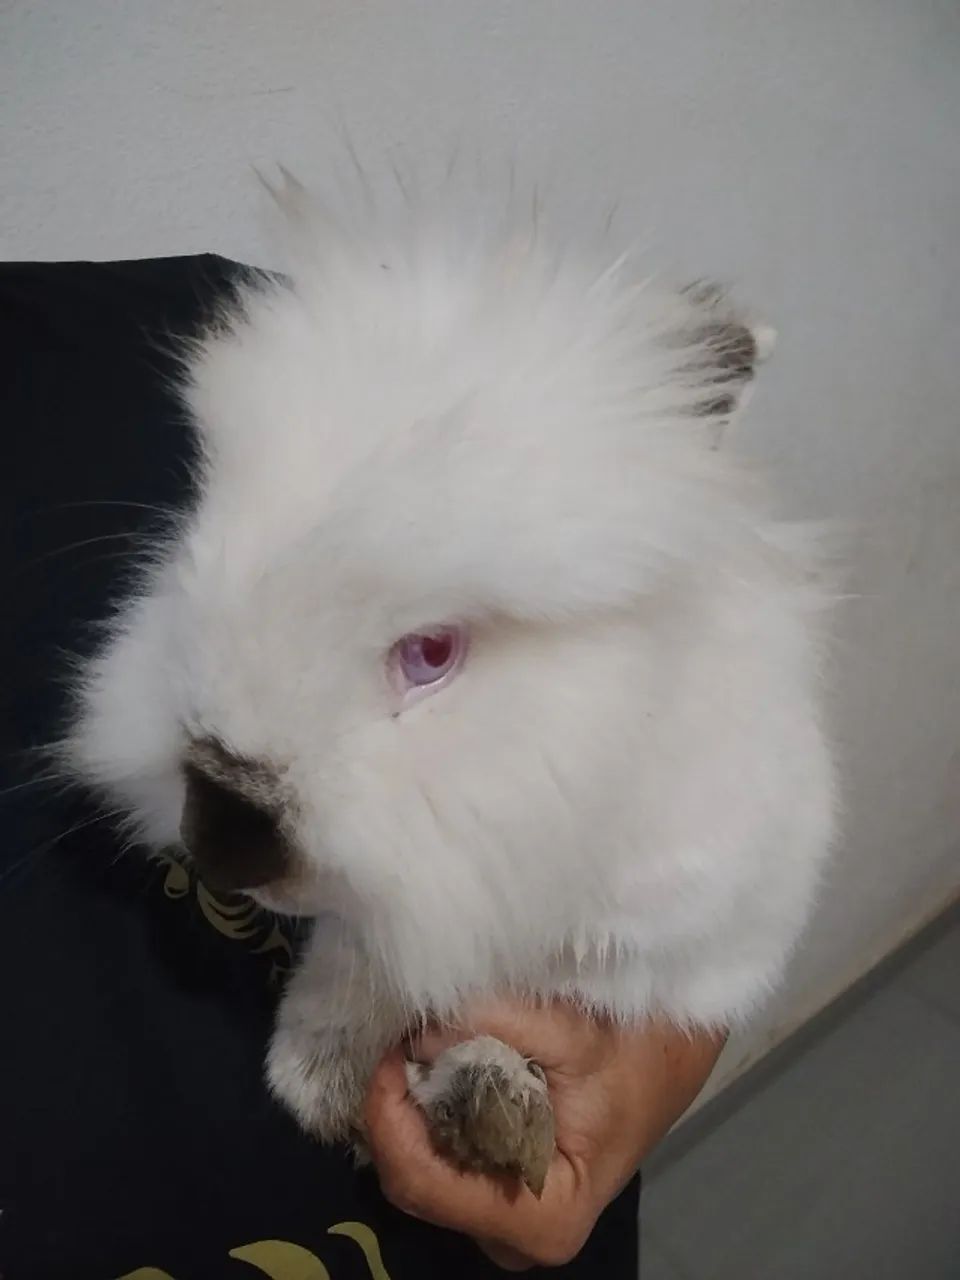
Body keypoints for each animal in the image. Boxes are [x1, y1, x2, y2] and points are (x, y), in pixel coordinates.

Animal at [64, 172, 835, 1197]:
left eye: (432, 652)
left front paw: (491, 1112)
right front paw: (322, 1085)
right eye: (197, 540)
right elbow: (362, 967)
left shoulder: (683, 936)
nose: (220, 840)